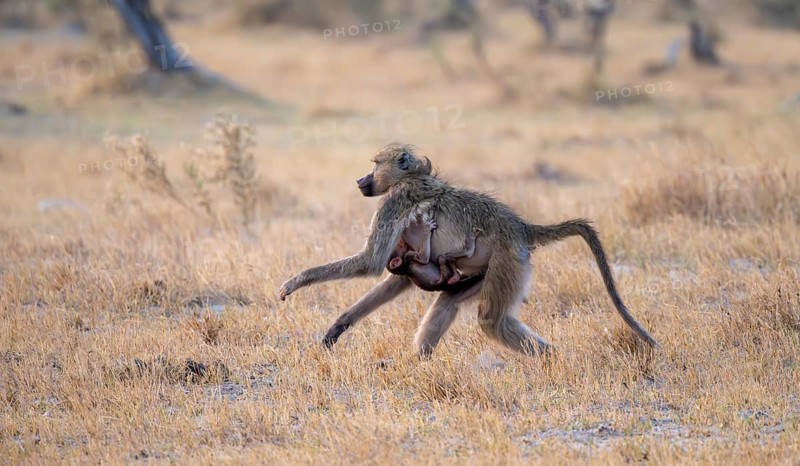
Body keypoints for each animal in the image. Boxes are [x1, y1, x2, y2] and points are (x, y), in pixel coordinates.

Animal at [279, 143, 658, 358]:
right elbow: (397, 277)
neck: (413, 178)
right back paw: (418, 364)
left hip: (508, 262)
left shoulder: (394, 204)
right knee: (448, 301)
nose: (360, 181)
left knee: (491, 319)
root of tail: (521, 227)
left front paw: (295, 282)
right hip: (488, 273)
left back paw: (554, 360)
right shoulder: (408, 257)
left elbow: (370, 263)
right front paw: (338, 327)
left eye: (374, 164)